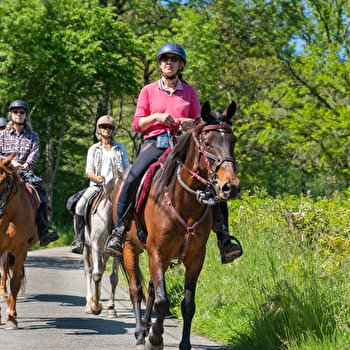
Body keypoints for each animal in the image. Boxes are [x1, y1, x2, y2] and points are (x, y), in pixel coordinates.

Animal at [81, 179, 121, 318]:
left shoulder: (115, 251)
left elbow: (114, 278)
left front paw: (111, 308)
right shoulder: (95, 244)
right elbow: (96, 274)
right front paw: (95, 307)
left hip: (105, 253)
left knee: (102, 269)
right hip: (86, 246)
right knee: (89, 270)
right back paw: (89, 303)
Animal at [114, 101, 241, 350]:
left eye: (233, 141)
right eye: (208, 142)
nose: (231, 186)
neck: (184, 202)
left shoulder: (195, 257)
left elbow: (187, 304)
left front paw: (183, 344)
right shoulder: (156, 252)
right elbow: (162, 302)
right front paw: (155, 339)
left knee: (150, 288)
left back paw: (146, 326)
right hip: (129, 247)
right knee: (136, 290)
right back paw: (140, 334)